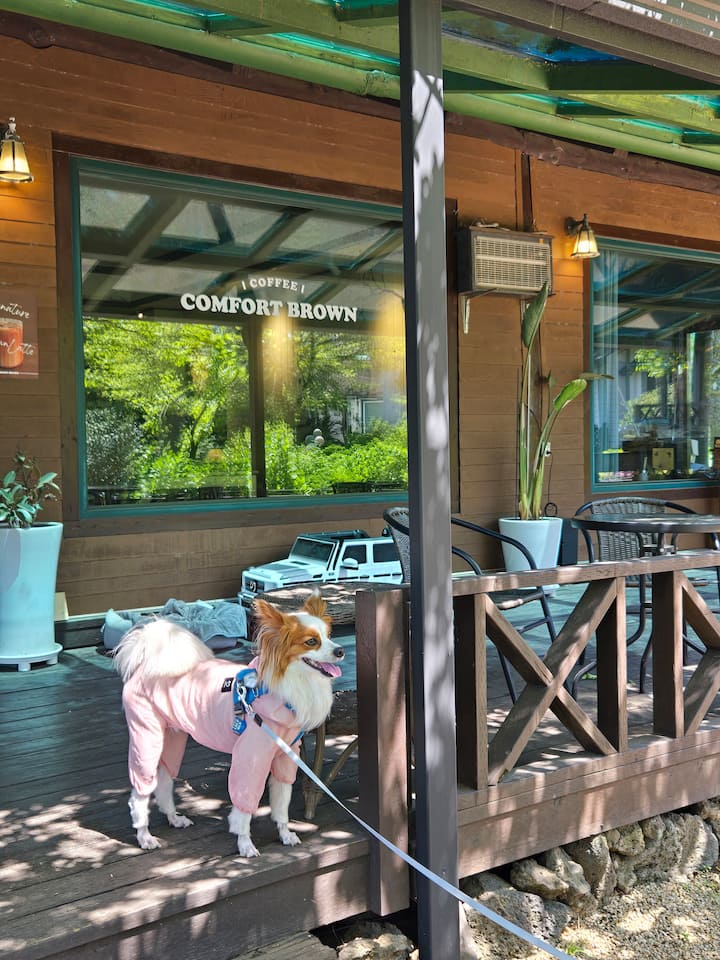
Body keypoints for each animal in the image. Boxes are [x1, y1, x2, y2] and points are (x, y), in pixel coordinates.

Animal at [113, 591, 344, 857]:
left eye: (329, 635)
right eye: (311, 641)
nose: (341, 651)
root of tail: (146, 666)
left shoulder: (285, 758)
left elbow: (281, 805)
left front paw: (285, 835)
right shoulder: (250, 759)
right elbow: (244, 809)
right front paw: (245, 845)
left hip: (171, 737)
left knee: (164, 779)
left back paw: (174, 818)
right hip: (146, 737)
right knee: (140, 793)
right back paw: (144, 836)